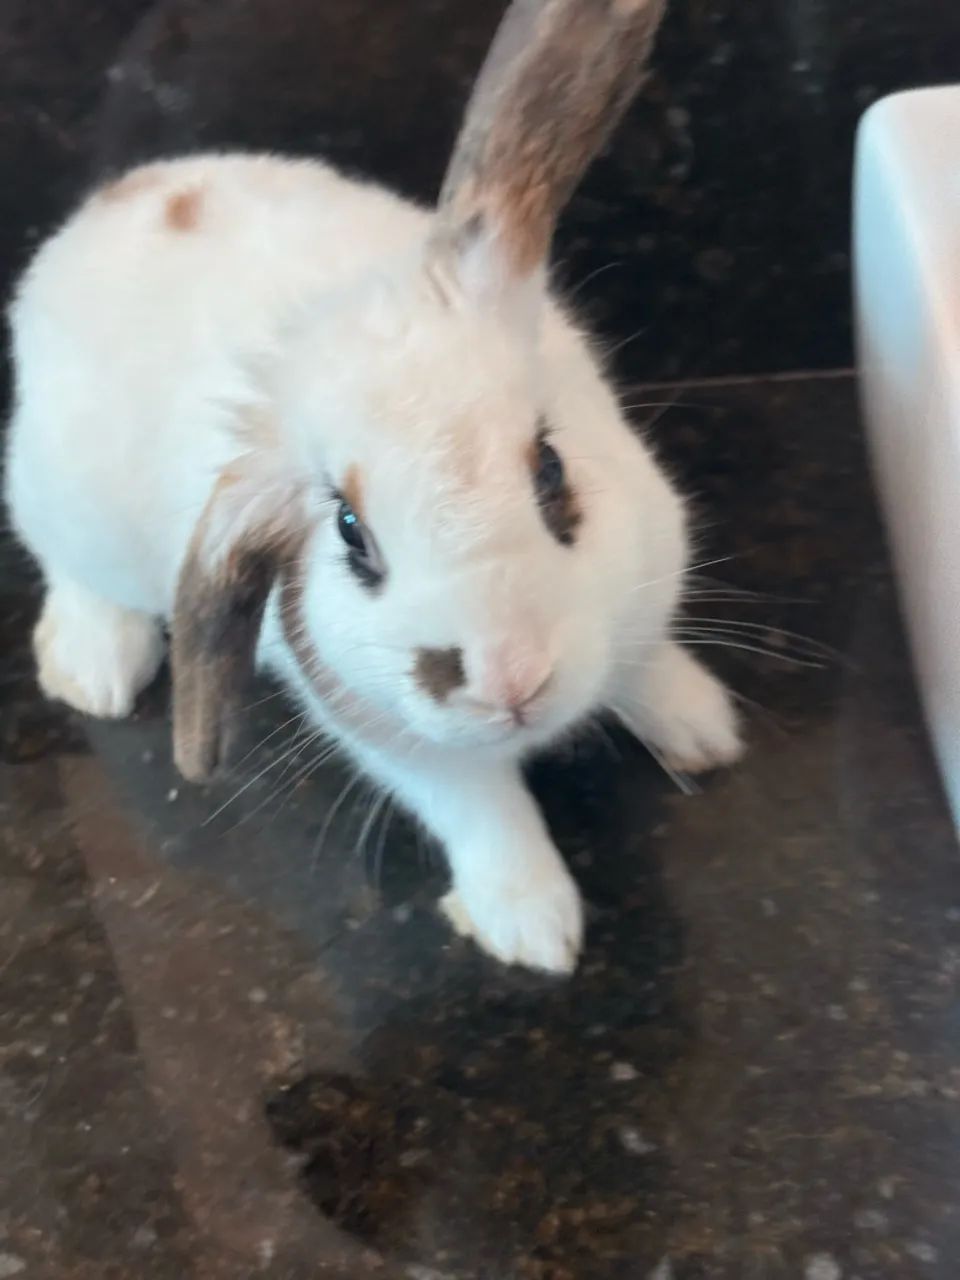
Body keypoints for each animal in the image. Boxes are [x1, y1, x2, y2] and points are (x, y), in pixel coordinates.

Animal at [4, 0, 742, 975]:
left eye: (550, 467)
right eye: (351, 531)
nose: (508, 678)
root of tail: (105, 207)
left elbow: (649, 662)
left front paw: (703, 730)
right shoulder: (400, 741)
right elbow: (485, 815)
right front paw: (532, 928)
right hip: (62, 502)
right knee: (69, 569)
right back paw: (92, 666)